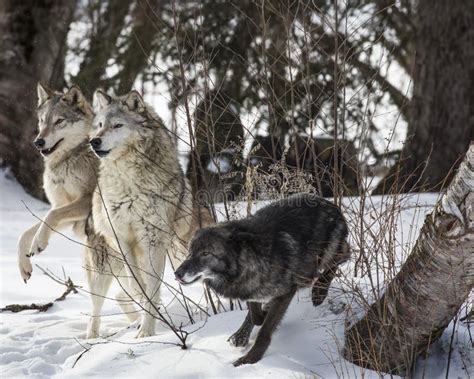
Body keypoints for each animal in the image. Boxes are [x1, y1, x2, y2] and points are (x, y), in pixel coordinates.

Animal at [90, 91, 212, 338]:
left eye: (117, 125)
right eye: (99, 125)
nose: (94, 141)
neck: (129, 182)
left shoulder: (153, 239)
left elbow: (152, 287)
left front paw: (146, 331)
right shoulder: (123, 240)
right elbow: (139, 285)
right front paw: (144, 320)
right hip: (104, 269)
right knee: (98, 307)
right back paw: (91, 337)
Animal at [173, 194, 348, 366]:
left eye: (206, 253)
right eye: (190, 251)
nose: (177, 274)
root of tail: (328, 202)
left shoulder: (286, 292)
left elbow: (265, 329)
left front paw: (251, 358)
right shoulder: (251, 288)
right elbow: (255, 314)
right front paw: (261, 315)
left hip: (325, 256)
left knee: (344, 255)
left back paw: (319, 291)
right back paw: (241, 334)